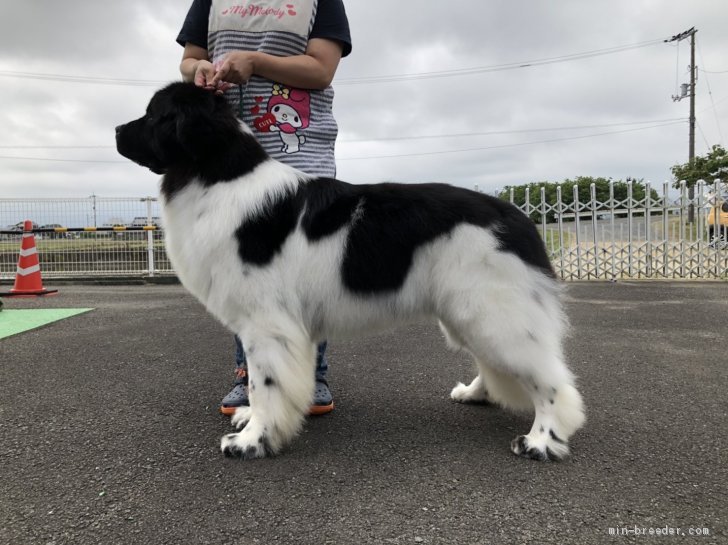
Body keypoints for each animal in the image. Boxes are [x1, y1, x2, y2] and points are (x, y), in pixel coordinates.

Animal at [118, 83, 584, 462]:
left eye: (154, 115)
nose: (118, 130)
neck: (218, 175)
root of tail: (520, 218)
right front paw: (251, 421)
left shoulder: (266, 325)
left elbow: (264, 382)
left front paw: (253, 440)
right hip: (469, 313)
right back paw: (476, 394)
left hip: (494, 312)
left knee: (552, 382)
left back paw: (541, 441)